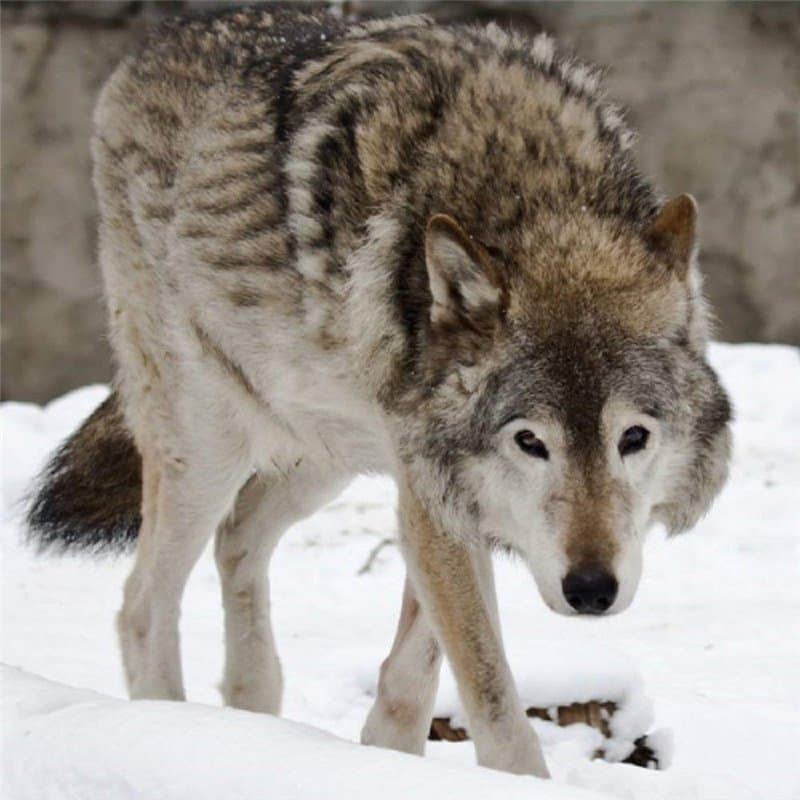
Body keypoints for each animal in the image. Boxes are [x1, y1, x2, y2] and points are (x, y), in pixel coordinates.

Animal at [26, 7, 732, 778]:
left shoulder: (432, 480)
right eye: (530, 442)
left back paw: (252, 719)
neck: (532, 194)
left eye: (633, 438)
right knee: (144, 604)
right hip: (208, 445)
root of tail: (163, 39)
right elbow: (490, 695)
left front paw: (383, 754)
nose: (591, 590)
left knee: (238, 539)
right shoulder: (432, 488)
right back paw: (171, 732)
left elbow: (415, 668)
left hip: (321, 455)